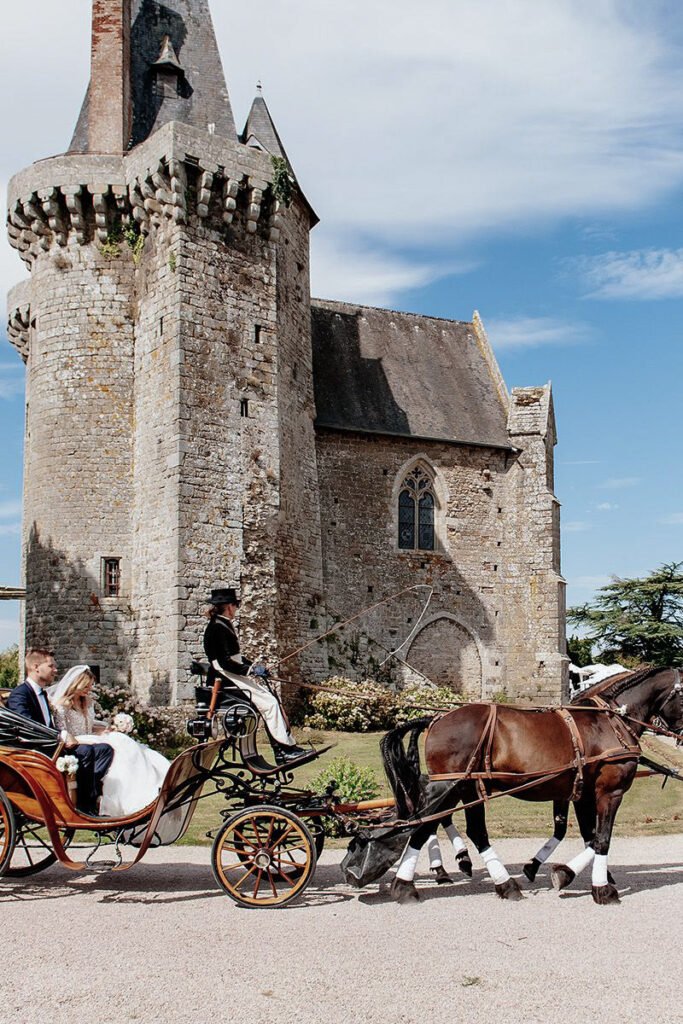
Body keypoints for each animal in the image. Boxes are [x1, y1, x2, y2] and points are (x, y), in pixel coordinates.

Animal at [382, 663, 679, 905]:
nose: (679, 736)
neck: (610, 719)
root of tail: (436, 718)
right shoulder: (610, 792)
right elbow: (601, 839)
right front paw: (601, 888)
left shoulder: (581, 793)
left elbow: (589, 837)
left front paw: (569, 873)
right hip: (451, 787)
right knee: (429, 827)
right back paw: (411, 885)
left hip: (463, 789)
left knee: (456, 829)